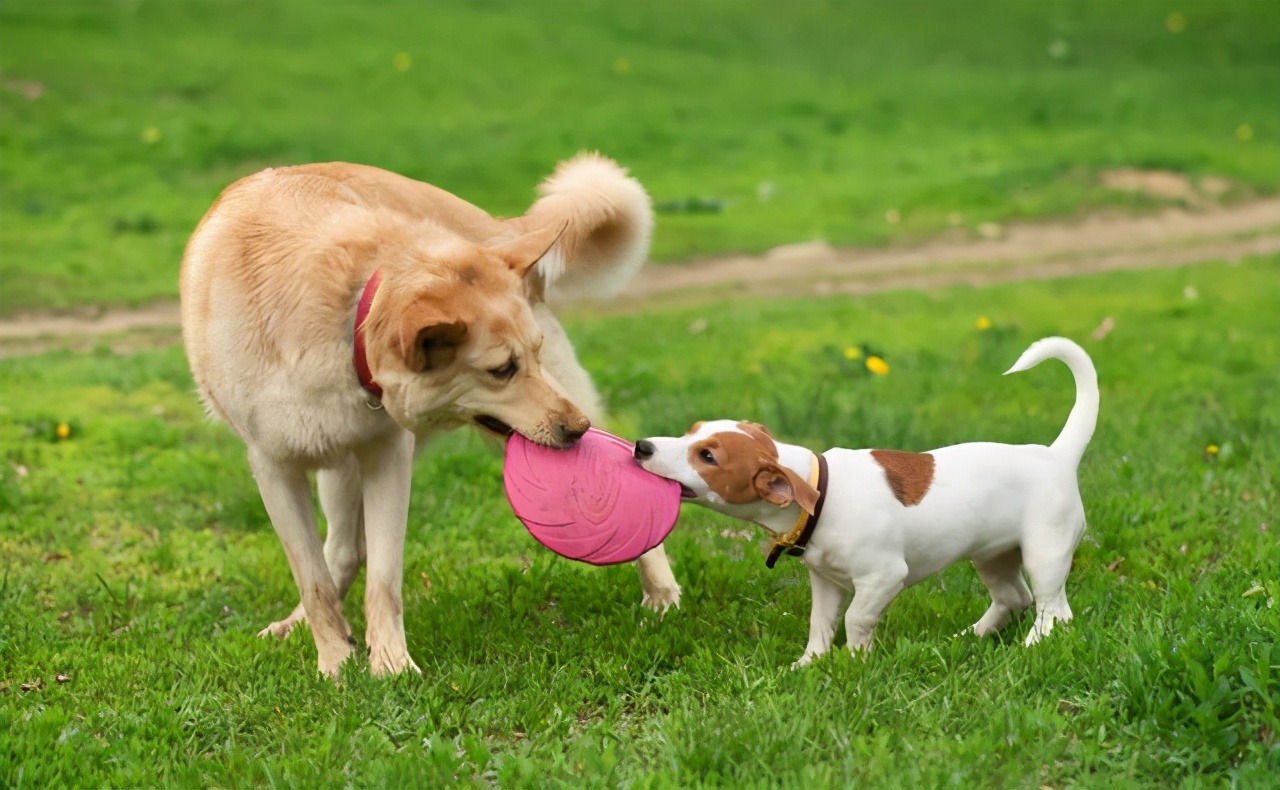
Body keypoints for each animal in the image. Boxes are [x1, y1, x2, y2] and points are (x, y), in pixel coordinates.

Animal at [183, 154, 680, 676]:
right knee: (340, 552)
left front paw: (391, 668)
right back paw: (300, 626)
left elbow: (384, 580)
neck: (350, 317)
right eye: (501, 370)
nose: (577, 429)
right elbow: (313, 580)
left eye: (533, 354)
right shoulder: (274, 468)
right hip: (336, 464)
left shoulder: (387, 454)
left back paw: (661, 593)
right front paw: (336, 665)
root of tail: (494, 227)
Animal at [634, 335, 1095, 660]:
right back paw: (970, 636)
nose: (642, 446)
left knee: (1054, 610)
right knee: (1014, 598)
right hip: (993, 555)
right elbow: (819, 624)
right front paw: (809, 665)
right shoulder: (824, 581)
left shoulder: (884, 576)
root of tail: (1057, 455)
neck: (820, 491)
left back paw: (1032, 646)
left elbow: (856, 617)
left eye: (707, 456)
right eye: (691, 430)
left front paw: (856, 660)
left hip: (1045, 552)